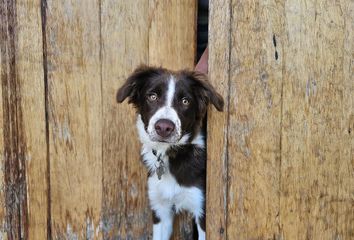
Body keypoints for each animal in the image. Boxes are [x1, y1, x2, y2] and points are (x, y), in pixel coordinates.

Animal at [117, 65, 224, 240]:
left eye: (185, 101)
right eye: (152, 96)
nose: (164, 128)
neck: (169, 154)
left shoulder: (203, 213)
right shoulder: (160, 210)